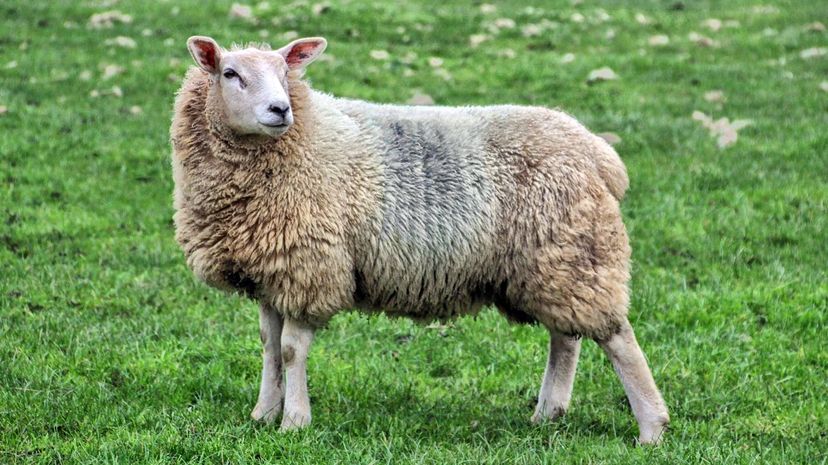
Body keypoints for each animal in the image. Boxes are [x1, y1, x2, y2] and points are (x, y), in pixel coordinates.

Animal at [170, 35, 670, 444]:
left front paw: (295, 420)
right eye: (230, 74)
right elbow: (269, 346)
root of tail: (597, 152)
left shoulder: (311, 268)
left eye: (284, 74)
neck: (302, 140)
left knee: (618, 338)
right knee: (565, 338)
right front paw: (263, 414)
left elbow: (292, 350)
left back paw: (652, 427)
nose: (281, 110)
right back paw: (548, 414)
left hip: (577, 251)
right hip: (552, 259)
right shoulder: (272, 271)